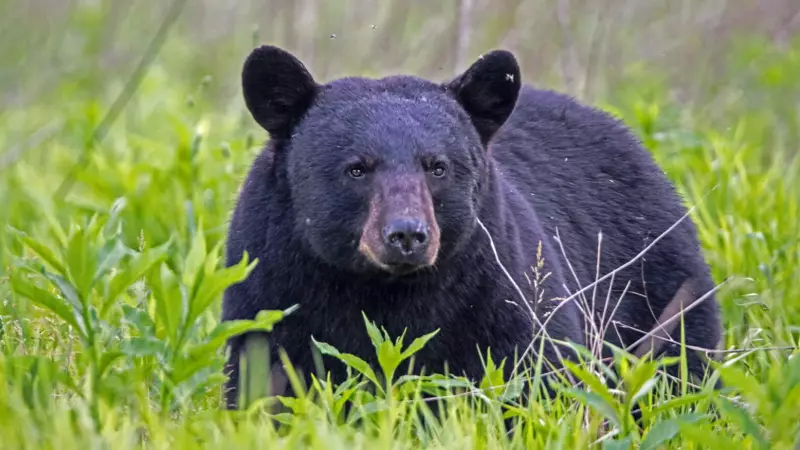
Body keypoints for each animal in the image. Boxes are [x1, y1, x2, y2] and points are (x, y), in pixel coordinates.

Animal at [220, 45, 722, 411]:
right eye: (357, 168)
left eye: (437, 166)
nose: (407, 234)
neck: (383, 291)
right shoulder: (273, 288)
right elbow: (265, 381)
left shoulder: (499, 293)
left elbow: (536, 379)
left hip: (658, 293)